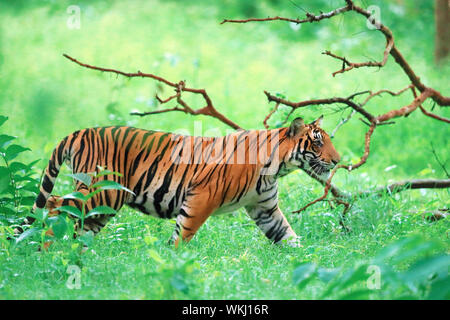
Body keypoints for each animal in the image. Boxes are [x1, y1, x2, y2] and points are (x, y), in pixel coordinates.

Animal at [19, 115, 340, 248]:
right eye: (317, 142)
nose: (337, 160)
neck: (277, 167)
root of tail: (79, 131)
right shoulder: (202, 197)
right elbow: (183, 233)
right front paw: (173, 260)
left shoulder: (265, 209)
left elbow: (287, 235)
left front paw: (310, 261)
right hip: (102, 192)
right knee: (54, 204)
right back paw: (46, 251)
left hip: (103, 205)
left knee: (79, 227)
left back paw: (77, 255)